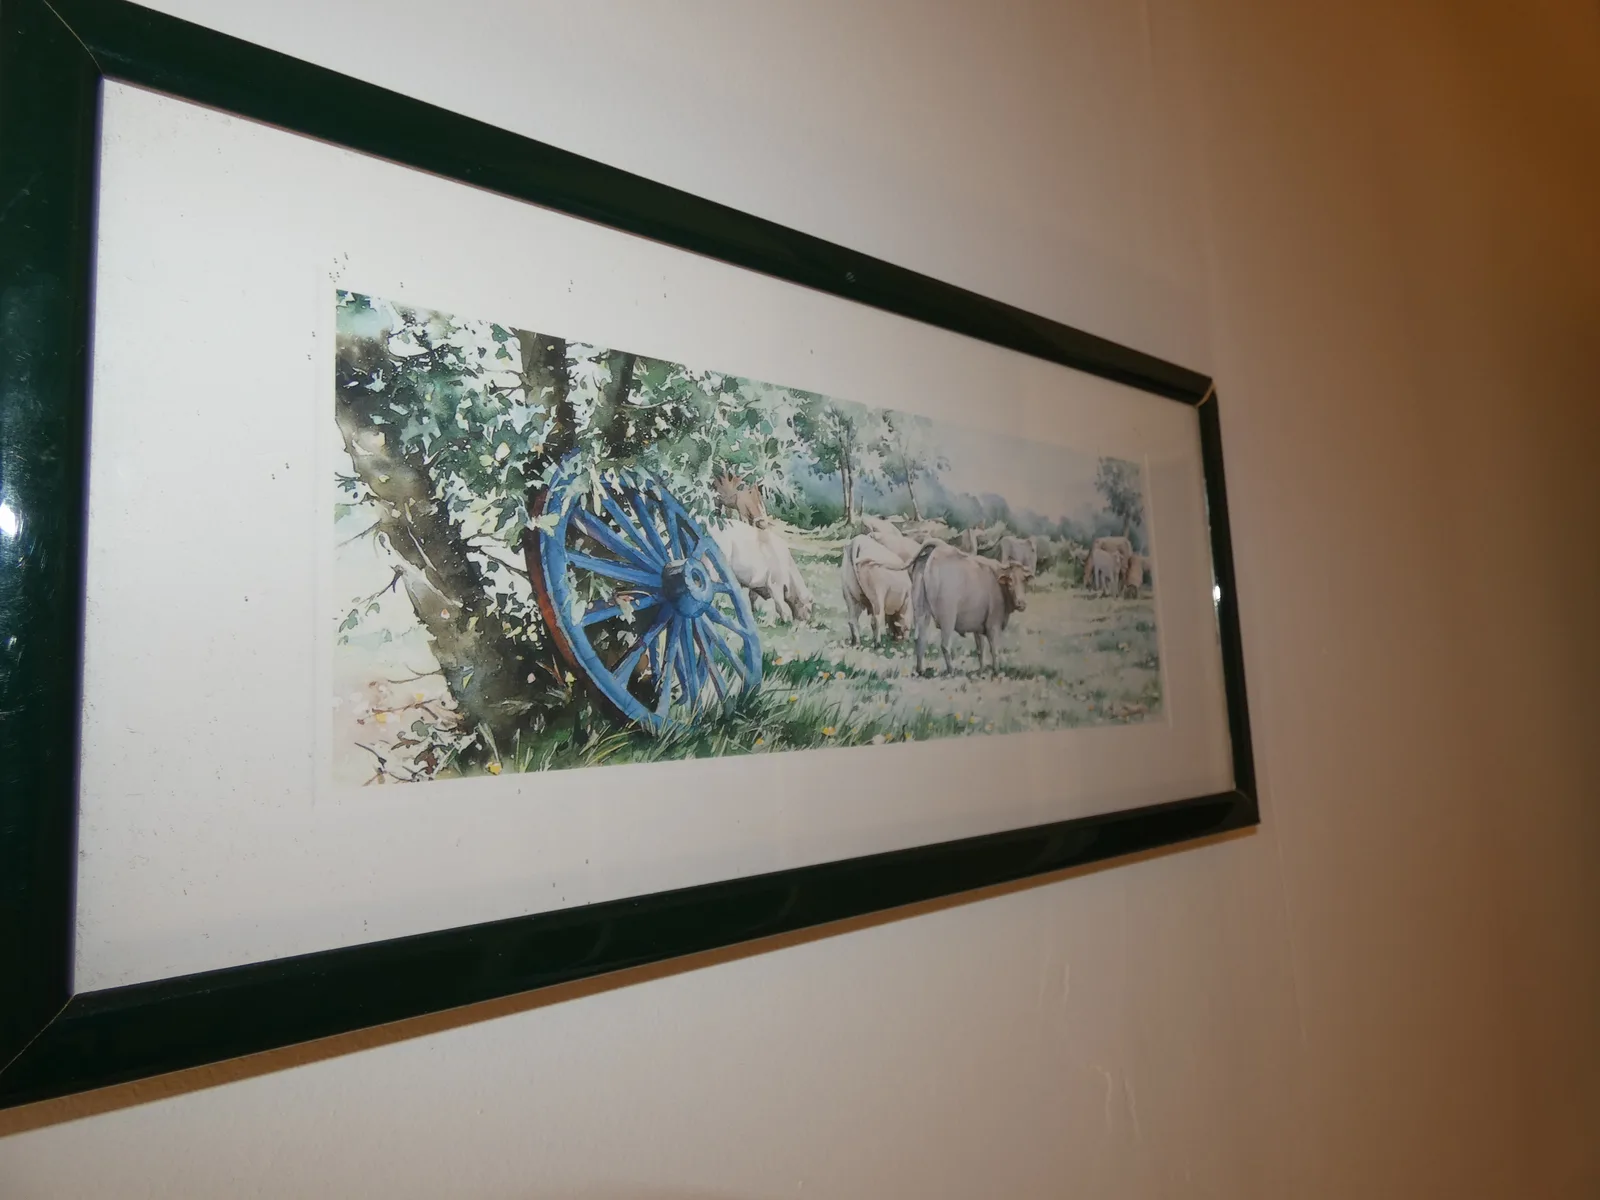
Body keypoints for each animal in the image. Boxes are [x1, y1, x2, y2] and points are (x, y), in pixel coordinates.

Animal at [907, 543, 1031, 676]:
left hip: (921, 612)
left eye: (1024, 580)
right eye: (1010, 581)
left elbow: (980, 649)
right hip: (948, 618)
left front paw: (982, 670)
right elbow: (994, 649)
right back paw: (951, 671)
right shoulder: (993, 625)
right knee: (945, 645)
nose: (1021, 603)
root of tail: (934, 553)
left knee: (920, 639)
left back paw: (920, 670)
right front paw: (996, 671)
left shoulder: (978, 626)